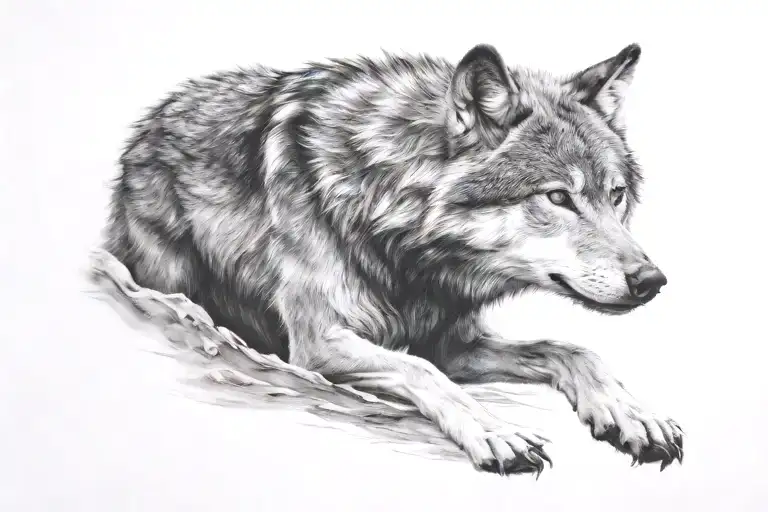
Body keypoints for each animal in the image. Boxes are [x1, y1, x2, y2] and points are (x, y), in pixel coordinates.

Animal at [104, 42, 683, 476]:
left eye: (616, 196)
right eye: (559, 197)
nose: (651, 280)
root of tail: (149, 124)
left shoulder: (455, 343)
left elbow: (573, 350)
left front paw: (630, 413)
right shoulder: (319, 342)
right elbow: (420, 369)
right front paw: (494, 431)